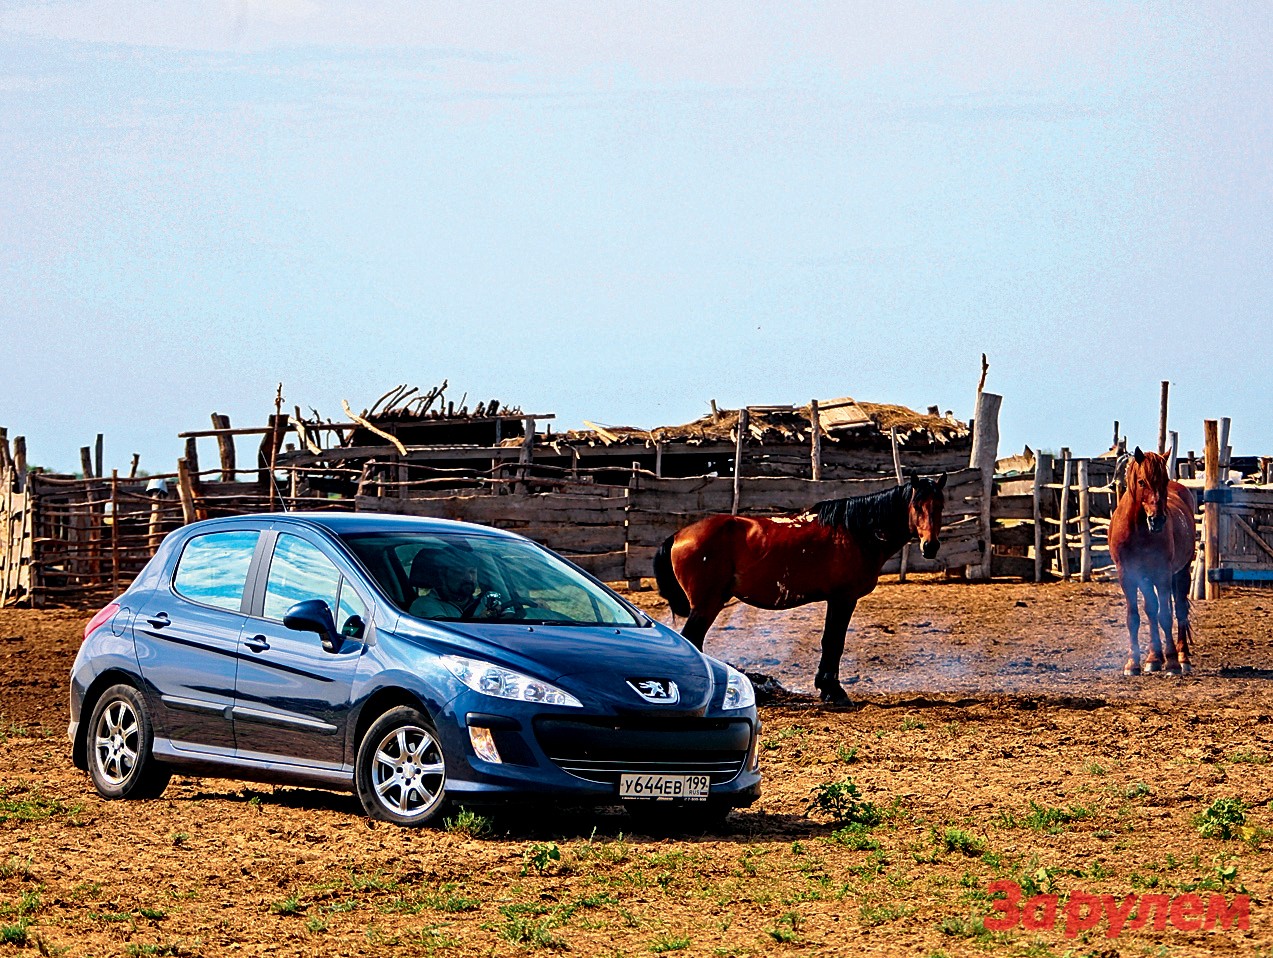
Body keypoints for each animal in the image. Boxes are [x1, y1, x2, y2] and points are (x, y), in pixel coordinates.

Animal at [656, 475, 947, 707]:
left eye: (940, 505)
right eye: (917, 505)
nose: (930, 546)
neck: (855, 532)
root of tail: (679, 535)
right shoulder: (843, 599)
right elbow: (834, 642)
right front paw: (833, 691)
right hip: (706, 605)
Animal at [1110, 447, 1196, 671]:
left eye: (1164, 480)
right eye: (1141, 482)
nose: (1157, 520)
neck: (1137, 530)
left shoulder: (1162, 574)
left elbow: (1165, 615)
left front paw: (1172, 661)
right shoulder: (1129, 576)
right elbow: (1135, 617)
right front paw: (1134, 663)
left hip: (1182, 572)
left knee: (1180, 609)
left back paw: (1183, 658)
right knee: (1152, 610)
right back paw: (1154, 657)